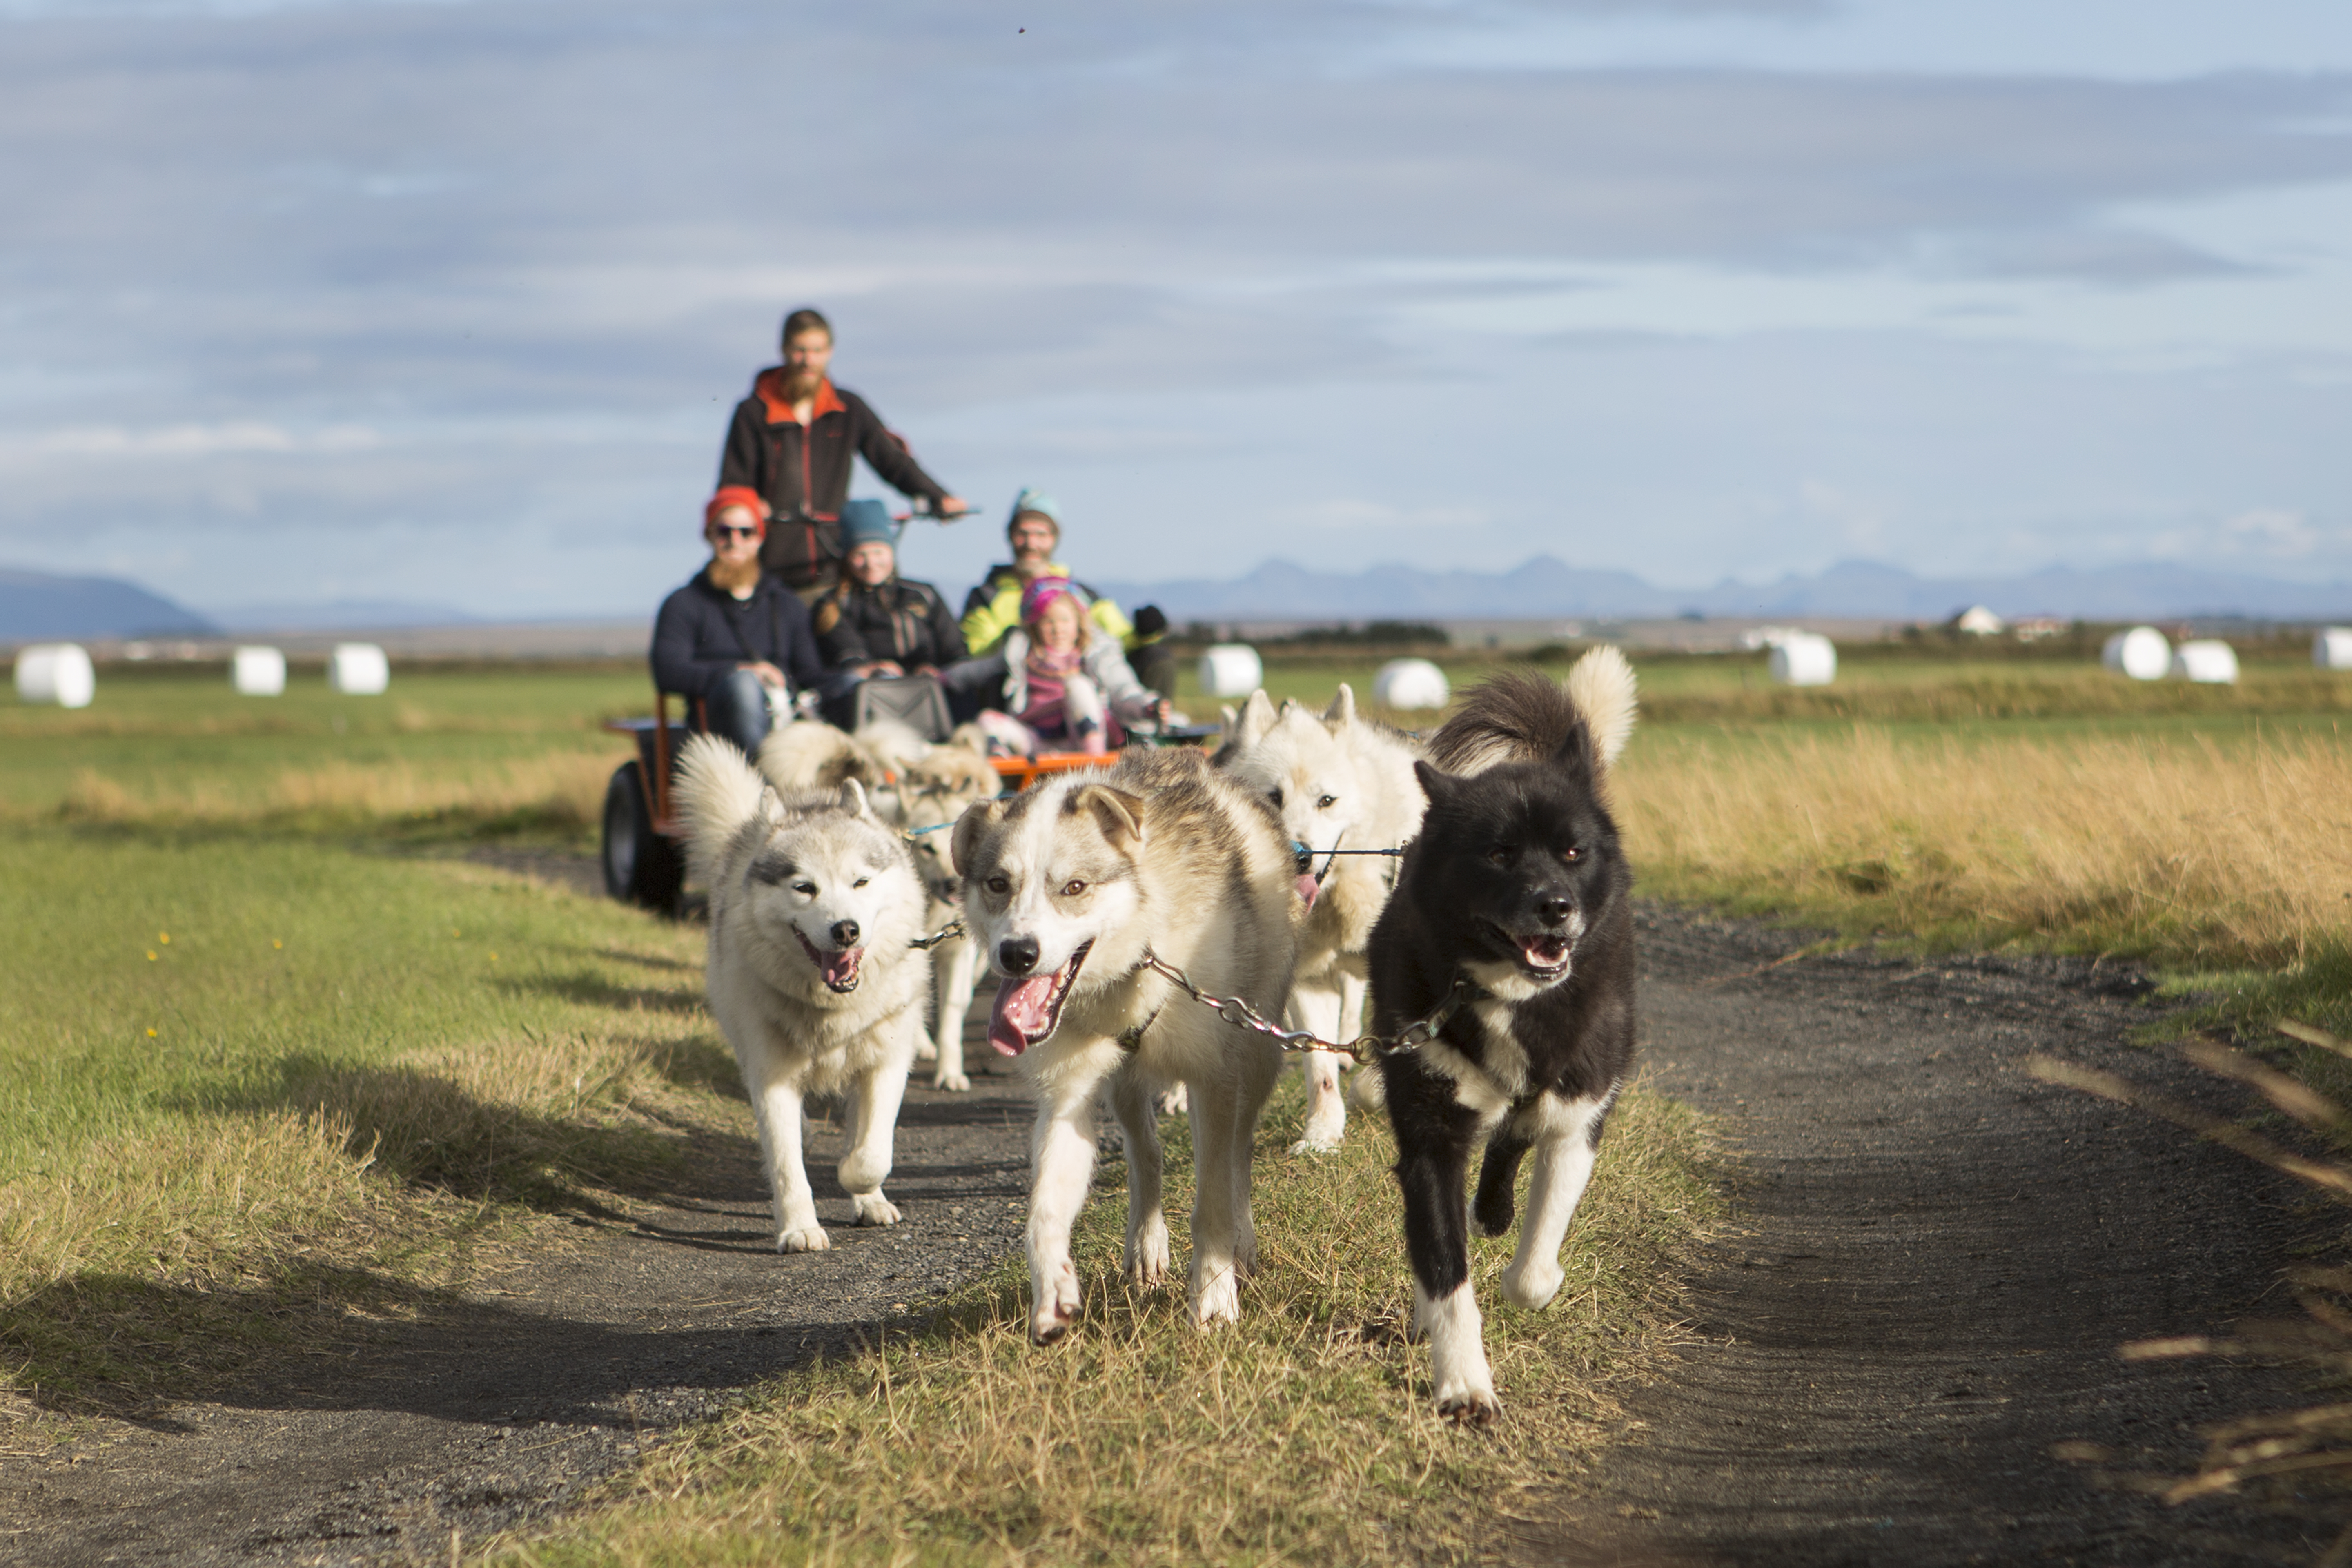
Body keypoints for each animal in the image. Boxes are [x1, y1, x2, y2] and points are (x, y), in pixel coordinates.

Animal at [668, 728, 931, 1260]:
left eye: (861, 881)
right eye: (805, 888)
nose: (846, 930)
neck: (833, 1007)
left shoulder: (887, 1062)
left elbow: (871, 1153)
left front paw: (858, 1183)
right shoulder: (772, 1077)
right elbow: (789, 1166)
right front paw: (799, 1230)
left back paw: (869, 1198)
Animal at [950, 747, 1307, 1335]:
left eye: (1075, 887)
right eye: (998, 884)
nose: (1017, 954)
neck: (1140, 956)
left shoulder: (1214, 1078)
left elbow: (1213, 1198)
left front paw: (1214, 1295)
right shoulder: (1067, 1094)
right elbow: (1045, 1211)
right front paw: (1052, 1289)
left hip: (1258, 1054)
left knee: (1238, 1153)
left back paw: (1241, 1245)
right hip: (1124, 1085)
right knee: (1147, 1154)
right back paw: (1146, 1243)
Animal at [1223, 686, 1421, 1152]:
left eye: (1326, 801)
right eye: (1274, 797)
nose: (1301, 856)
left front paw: (1371, 1088)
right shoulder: (1310, 981)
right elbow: (1320, 1066)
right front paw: (1322, 1134)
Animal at [1373, 648, 1646, 1420]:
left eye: (1573, 852)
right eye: (1497, 854)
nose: (1554, 907)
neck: (1511, 997)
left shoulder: (1581, 1109)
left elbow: (1534, 1258)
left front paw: (1535, 1275)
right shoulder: (1430, 1133)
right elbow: (1444, 1268)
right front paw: (1464, 1385)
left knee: (1516, 1135)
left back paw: (1493, 1211)